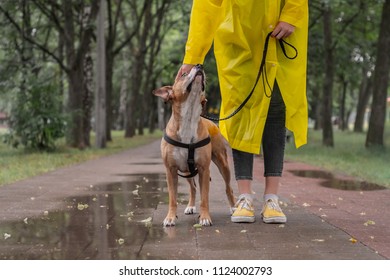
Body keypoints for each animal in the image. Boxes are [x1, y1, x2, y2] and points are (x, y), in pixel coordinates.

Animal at [153, 65, 235, 225]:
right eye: (183, 74)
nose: (199, 65)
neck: (189, 117)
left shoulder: (204, 169)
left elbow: (205, 198)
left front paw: (205, 217)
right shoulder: (170, 170)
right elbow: (173, 198)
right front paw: (170, 217)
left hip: (223, 164)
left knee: (228, 188)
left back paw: (234, 208)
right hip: (186, 171)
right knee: (193, 188)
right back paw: (190, 206)